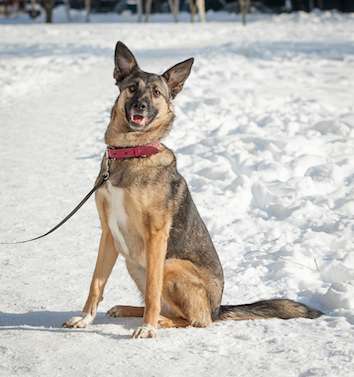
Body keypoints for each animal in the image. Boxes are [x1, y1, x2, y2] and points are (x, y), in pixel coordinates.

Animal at [62, 41, 322, 338]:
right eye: (132, 88)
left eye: (156, 93)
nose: (140, 106)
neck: (132, 153)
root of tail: (218, 308)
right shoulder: (108, 234)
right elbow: (96, 282)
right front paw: (85, 319)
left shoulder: (156, 235)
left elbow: (152, 289)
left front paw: (149, 328)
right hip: (134, 262)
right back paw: (129, 310)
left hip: (170, 264)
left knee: (196, 319)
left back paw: (160, 321)